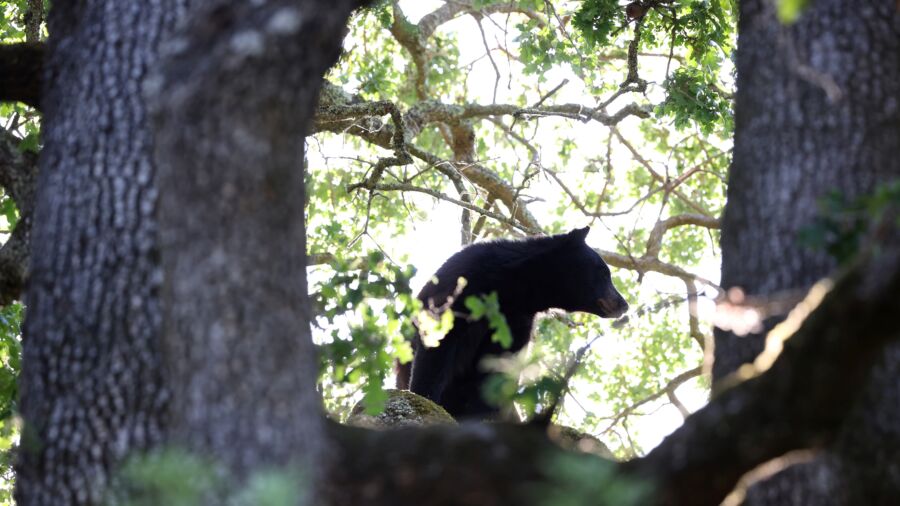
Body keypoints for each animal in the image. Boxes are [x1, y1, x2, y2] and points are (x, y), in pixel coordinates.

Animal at [395, 226, 628, 419]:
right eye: (604, 273)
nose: (624, 304)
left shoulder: (517, 322)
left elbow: (498, 368)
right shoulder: (461, 288)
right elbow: (439, 343)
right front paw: (426, 398)